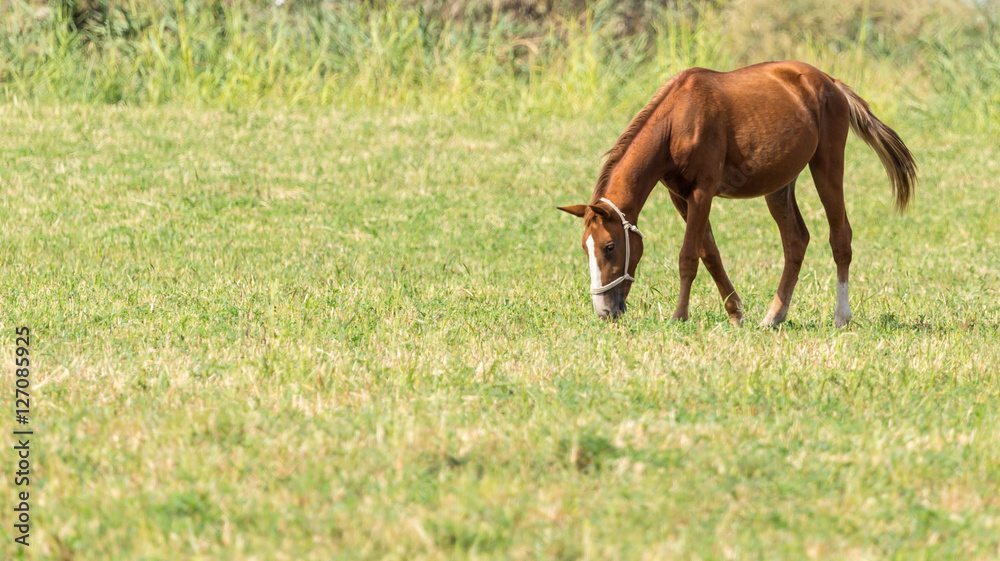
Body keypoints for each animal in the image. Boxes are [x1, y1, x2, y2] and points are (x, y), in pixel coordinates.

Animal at [558, 60, 916, 328]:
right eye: (584, 247)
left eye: (609, 246)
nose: (604, 311)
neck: (677, 120)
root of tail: (830, 82)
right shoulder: (680, 196)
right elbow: (710, 254)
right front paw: (735, 313)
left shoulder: (702, 192)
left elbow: (688, 257)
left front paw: (679, 316)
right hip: (779, 185)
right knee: (796, 240)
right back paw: (774, 316)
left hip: (827, 167)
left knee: (840, 237)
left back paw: (841, 316)